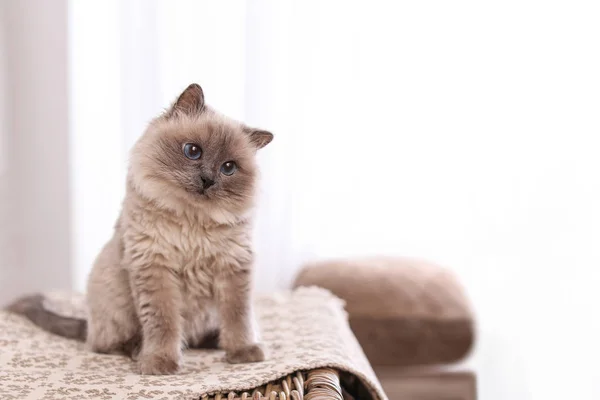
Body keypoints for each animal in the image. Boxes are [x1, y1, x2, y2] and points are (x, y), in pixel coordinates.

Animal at [6, 84, 274, 376]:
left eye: (228, 168)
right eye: (193, 151)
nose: (207, 180)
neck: (192, 221)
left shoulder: (233, 268)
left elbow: (238, 318)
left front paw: (243, 353)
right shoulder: (155, 269)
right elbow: (163, 323)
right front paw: (160, 363)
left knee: (200, 337)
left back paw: (212, 343)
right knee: (107, 343)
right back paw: (138, 351)